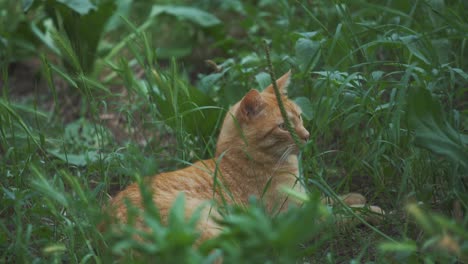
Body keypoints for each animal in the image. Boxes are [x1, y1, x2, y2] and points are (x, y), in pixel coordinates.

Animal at [108, 71, 378, 240]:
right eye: (283, 126)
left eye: (300, 117)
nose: (307, 135)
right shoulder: (292, 216)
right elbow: (334, 214)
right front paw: (370, 212)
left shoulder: (302, 198)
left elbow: (328, 198)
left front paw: (353, 197)